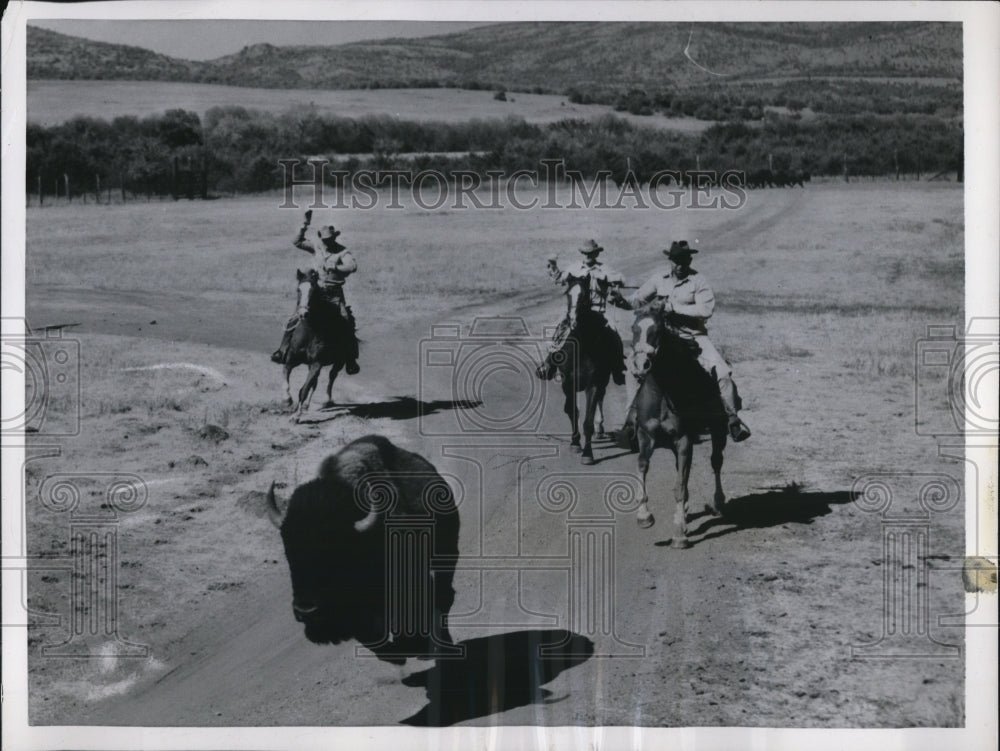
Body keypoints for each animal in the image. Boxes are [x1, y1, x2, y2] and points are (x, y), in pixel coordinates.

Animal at [284, 270, 358, 424]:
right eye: (298, 290)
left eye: (314, 291)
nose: (303, 314)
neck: (310, 331)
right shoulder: (291, 359)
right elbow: (286, 375)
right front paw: (287, 399)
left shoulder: (316, 363)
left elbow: (304, 389)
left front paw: (296, 416)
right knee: (316, 382)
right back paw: (306, 405)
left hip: (338, 362)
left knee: (331, 377)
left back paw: (326, 400)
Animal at [560, 274, 620, 464]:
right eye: (567, 294)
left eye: (584, 296)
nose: (572, 320)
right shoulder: (567, 383)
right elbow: (572, 411)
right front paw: (575, 443)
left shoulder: (593, 384)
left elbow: (587, 421)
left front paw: (587, 454)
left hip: (603, 380)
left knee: (601, 398)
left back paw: (599, 427)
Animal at [628, 306, 732, 548]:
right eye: (634, 328)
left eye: (657, 330)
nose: (641, 365)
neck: (662, 393)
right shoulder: (646, 435)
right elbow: (643, 466)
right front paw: (644, 516)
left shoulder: (684, 439)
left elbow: (679, 486)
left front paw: (679, 533)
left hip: (718, 431)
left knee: (716, 462)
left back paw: (718, 503)